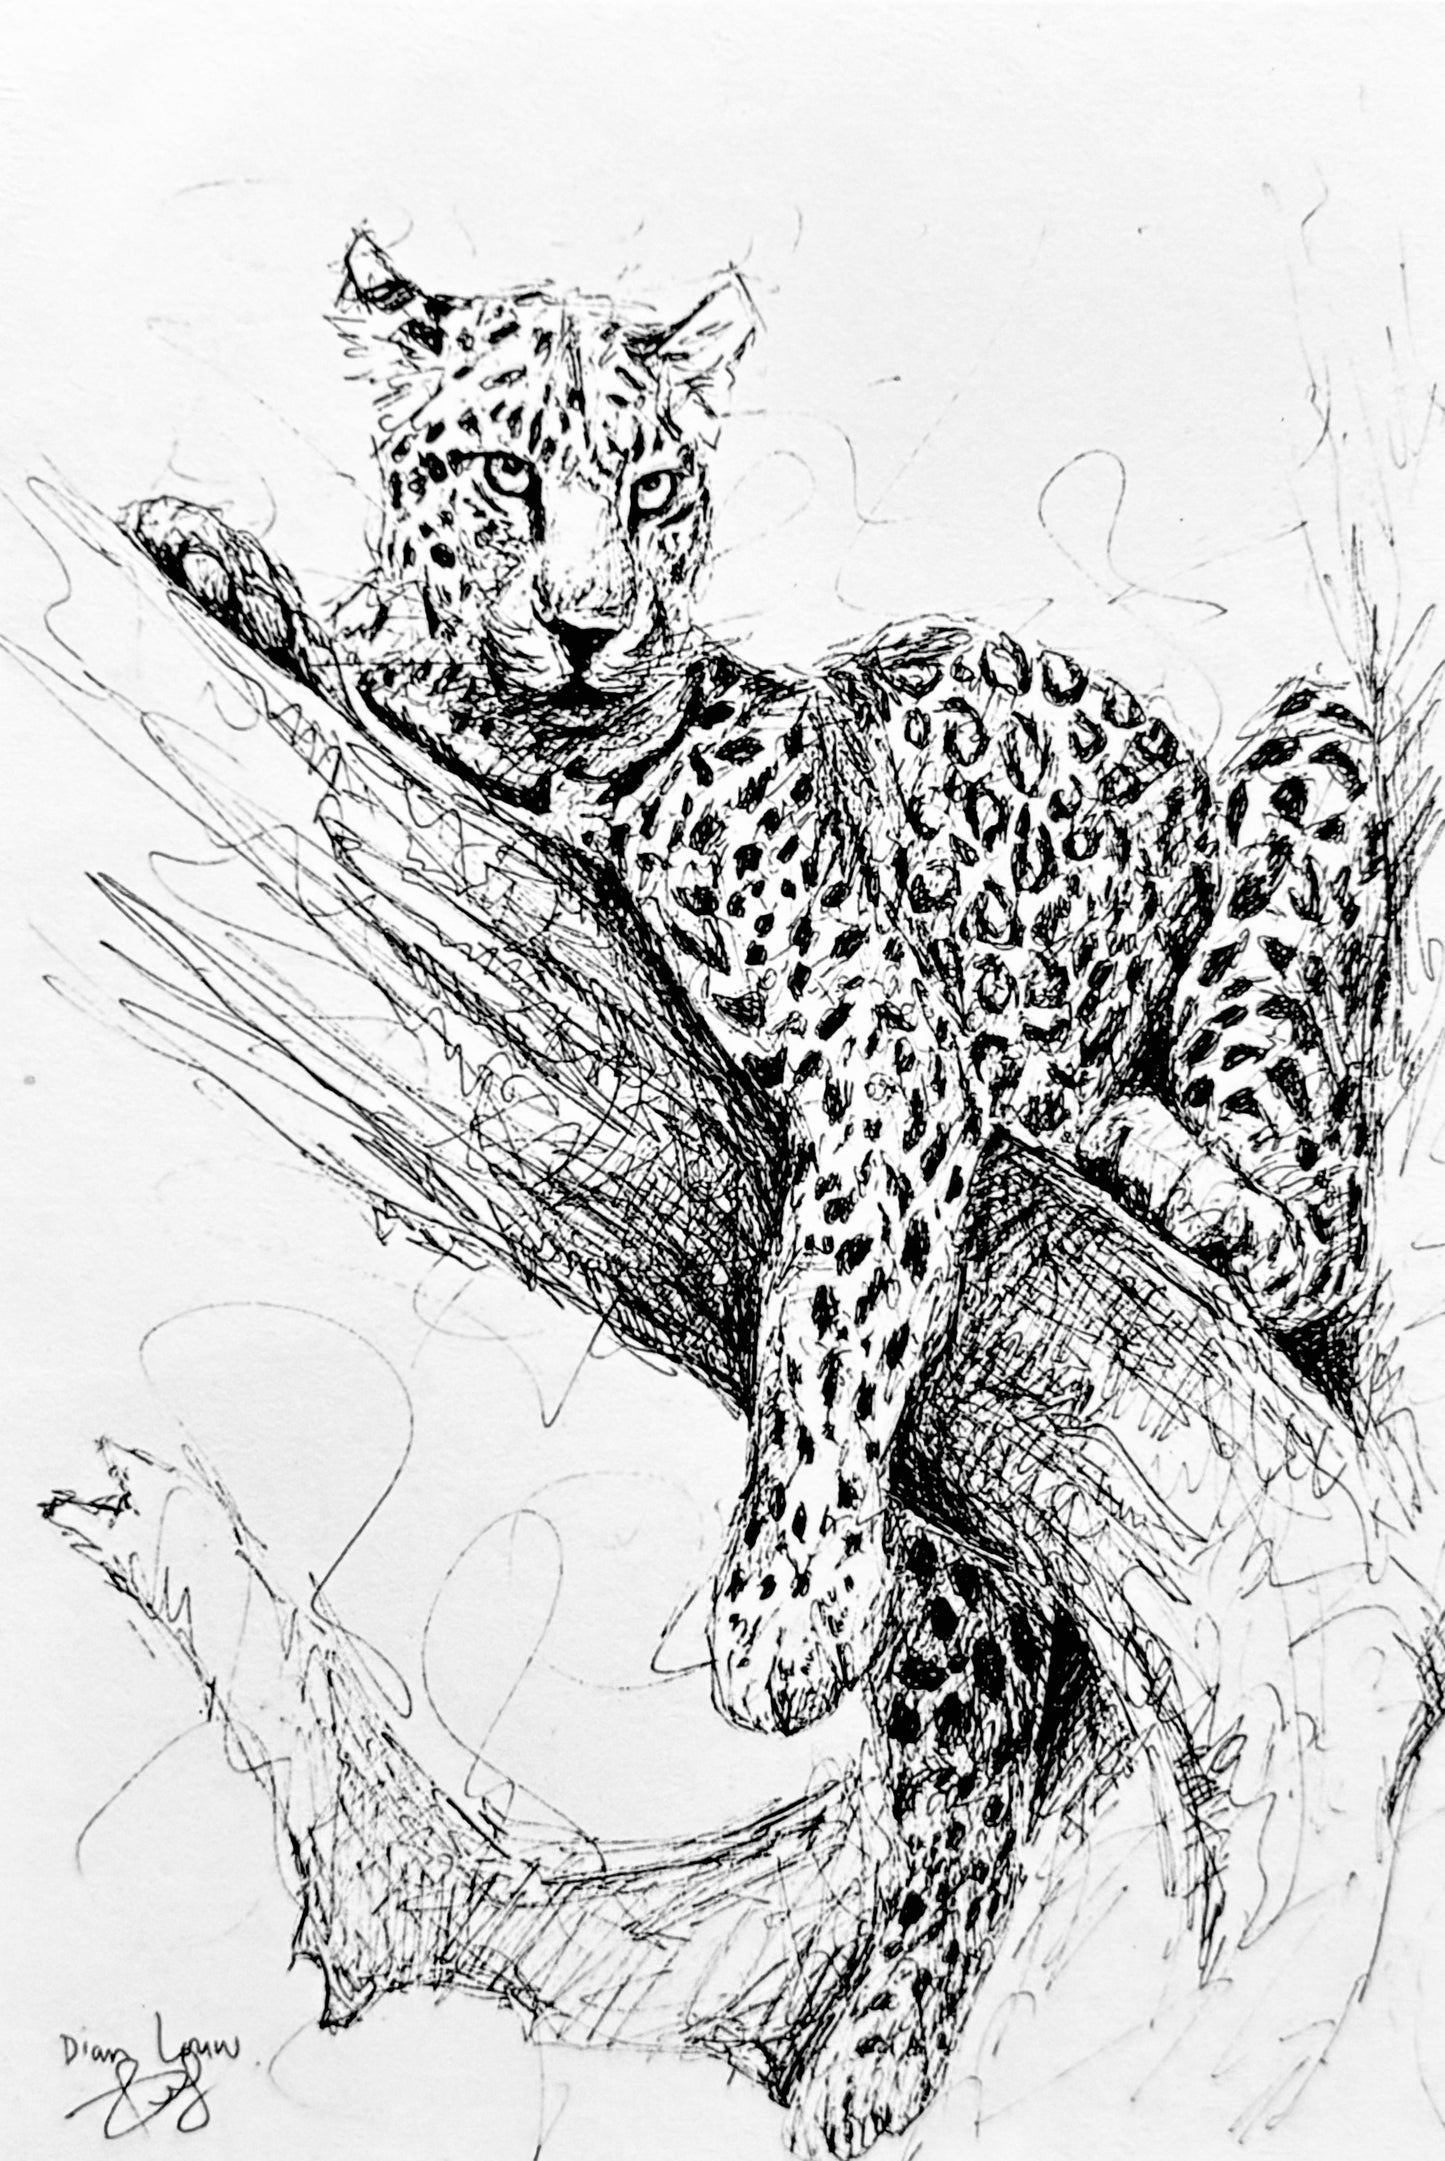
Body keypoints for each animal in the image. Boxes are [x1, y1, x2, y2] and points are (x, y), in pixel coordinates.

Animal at [123, 231, 1391, 2158]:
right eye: (508, 477)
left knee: (1310, 1212)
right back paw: (878, 2051)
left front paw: (783, 1610)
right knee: (965, 1730)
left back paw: (1173, 1169)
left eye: (651, 490)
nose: (589, 623)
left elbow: (838, 1297)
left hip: (1309, 767)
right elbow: (360, 669)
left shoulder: (878, 1032)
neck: (539, 759)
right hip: (958, 1560)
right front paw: (222, 559)